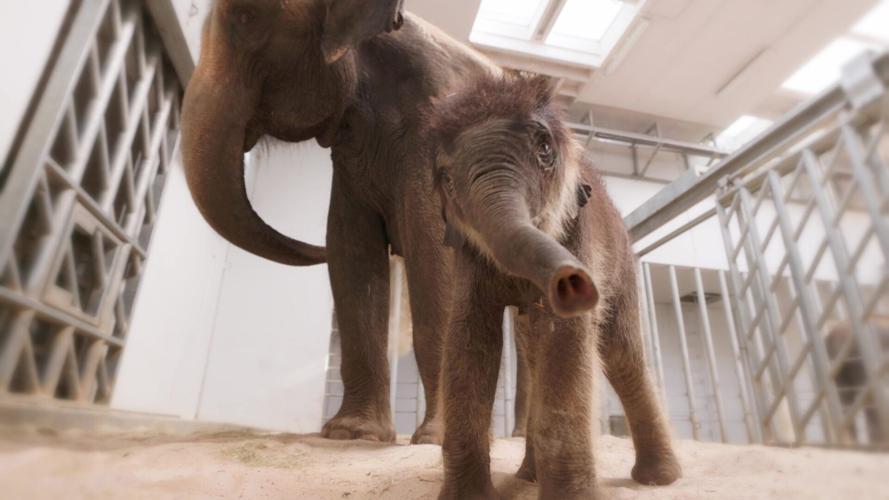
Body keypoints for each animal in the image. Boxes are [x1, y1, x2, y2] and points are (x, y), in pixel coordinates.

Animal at [428, 73, 680, 499]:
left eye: (544, 147)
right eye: (446, 178)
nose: (571, 280)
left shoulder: (578, 234)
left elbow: (567, 340)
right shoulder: (469, 256)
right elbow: (468, 339)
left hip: (623, 269)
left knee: (621, 353)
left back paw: (660, 479)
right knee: (533, 351)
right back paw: (528, 476)